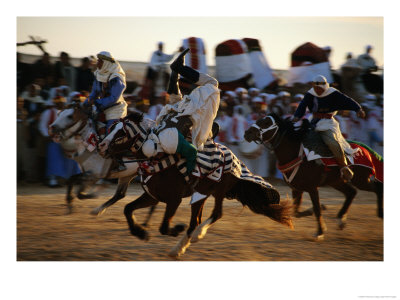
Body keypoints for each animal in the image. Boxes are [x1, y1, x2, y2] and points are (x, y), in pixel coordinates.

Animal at [101, 112, 294, 258]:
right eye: (111, 128)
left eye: (121, 132)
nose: (101, 145)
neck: (157, 157)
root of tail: (236, 159)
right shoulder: (152, 196)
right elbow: (127, 209)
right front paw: (141, 232)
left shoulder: (174, 200)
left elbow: (164, 227)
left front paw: (176, 228)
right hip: (202, 195)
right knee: (198, 220)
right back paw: (181, 246)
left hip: (217, 191)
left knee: (214, 215)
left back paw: (191, 239)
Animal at [244, 113, 384, 240]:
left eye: (267, 122)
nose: (247, 133)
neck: (296, 154)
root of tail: (366, 150)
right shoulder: (296, 188)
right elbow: (296, 211)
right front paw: (317, 211)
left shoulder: (312, 188)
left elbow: (317, 209)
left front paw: (320, 232)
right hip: (337, 182)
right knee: (351, 192)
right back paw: (341, 219)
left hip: (360, 179)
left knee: (376, 188)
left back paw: (379, 213)